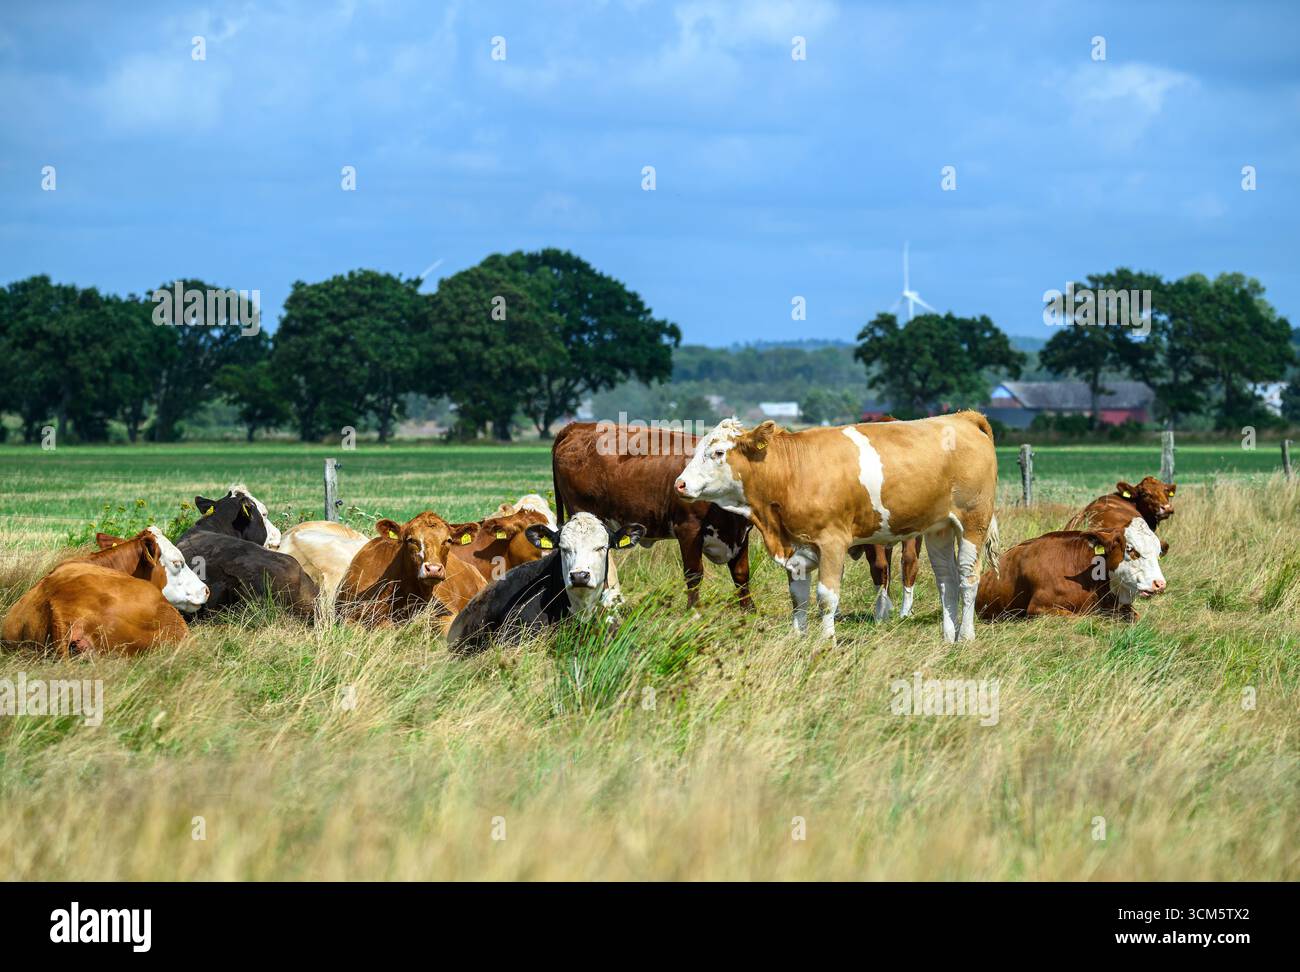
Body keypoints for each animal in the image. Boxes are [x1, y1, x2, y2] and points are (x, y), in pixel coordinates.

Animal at [551, 421, 753, 611]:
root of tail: (578, 426)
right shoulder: (688, 529)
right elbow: (694, 574)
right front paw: (694, 610)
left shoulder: (742, 534)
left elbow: (741, 573)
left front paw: (748, 609)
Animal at [675, 413, 999, 642]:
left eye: (718, 453)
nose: (680, 484)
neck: (792, 471)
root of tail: (963, 418)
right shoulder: (797, 546)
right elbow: (798, 596)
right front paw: (798, 637)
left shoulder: (832, 542)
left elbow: (826, 596)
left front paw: (826, 640)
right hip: (938, 529)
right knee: (946, 579)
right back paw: (948, 637)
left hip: (973, 522)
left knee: (968, 577)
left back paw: (966, 636)